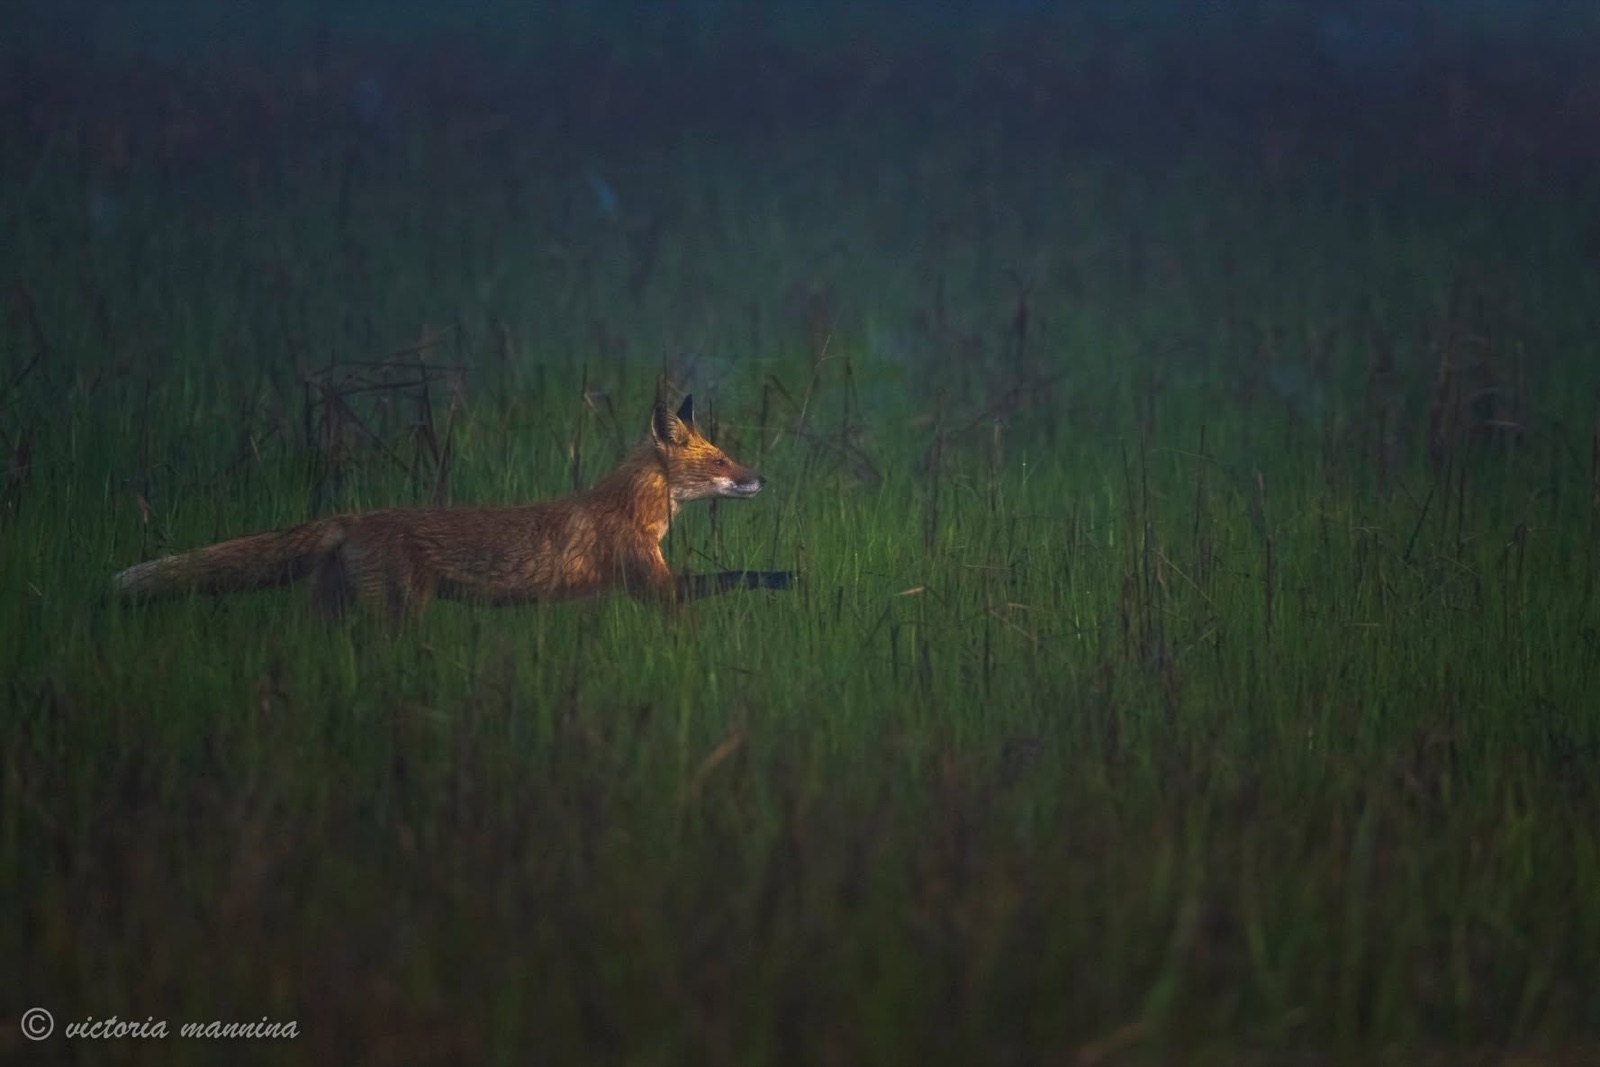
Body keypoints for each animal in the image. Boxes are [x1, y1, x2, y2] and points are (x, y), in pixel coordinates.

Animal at [113, 395, 794, 616]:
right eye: (721, 461)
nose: (762, 478)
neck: (629, 508)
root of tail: (353, 518)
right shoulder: (654, 587)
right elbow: (734, 577)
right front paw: (783, 578)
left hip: (338, 611)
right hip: (395, 613)